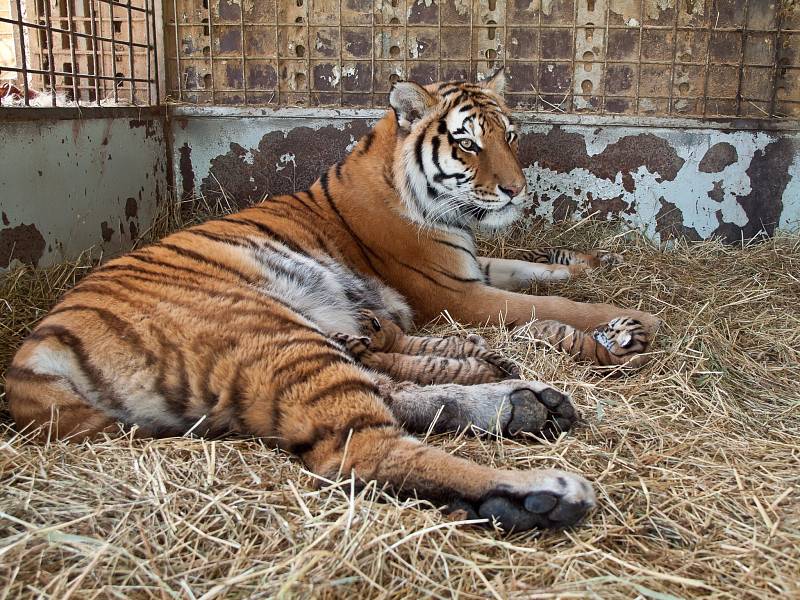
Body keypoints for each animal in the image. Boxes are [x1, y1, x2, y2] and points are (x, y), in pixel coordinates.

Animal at [4, 71, 656, 536]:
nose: (516, 192)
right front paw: (637, 319)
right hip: (266, 326)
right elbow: (553, 306)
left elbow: (536, 272)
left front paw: (594, 265)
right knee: (360, 448)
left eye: (510, 135)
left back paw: (526, 406)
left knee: (387, 391)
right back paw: (540, 490)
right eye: (468, 143)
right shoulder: (456, 291)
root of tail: (33, 353)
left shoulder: (475, 266)